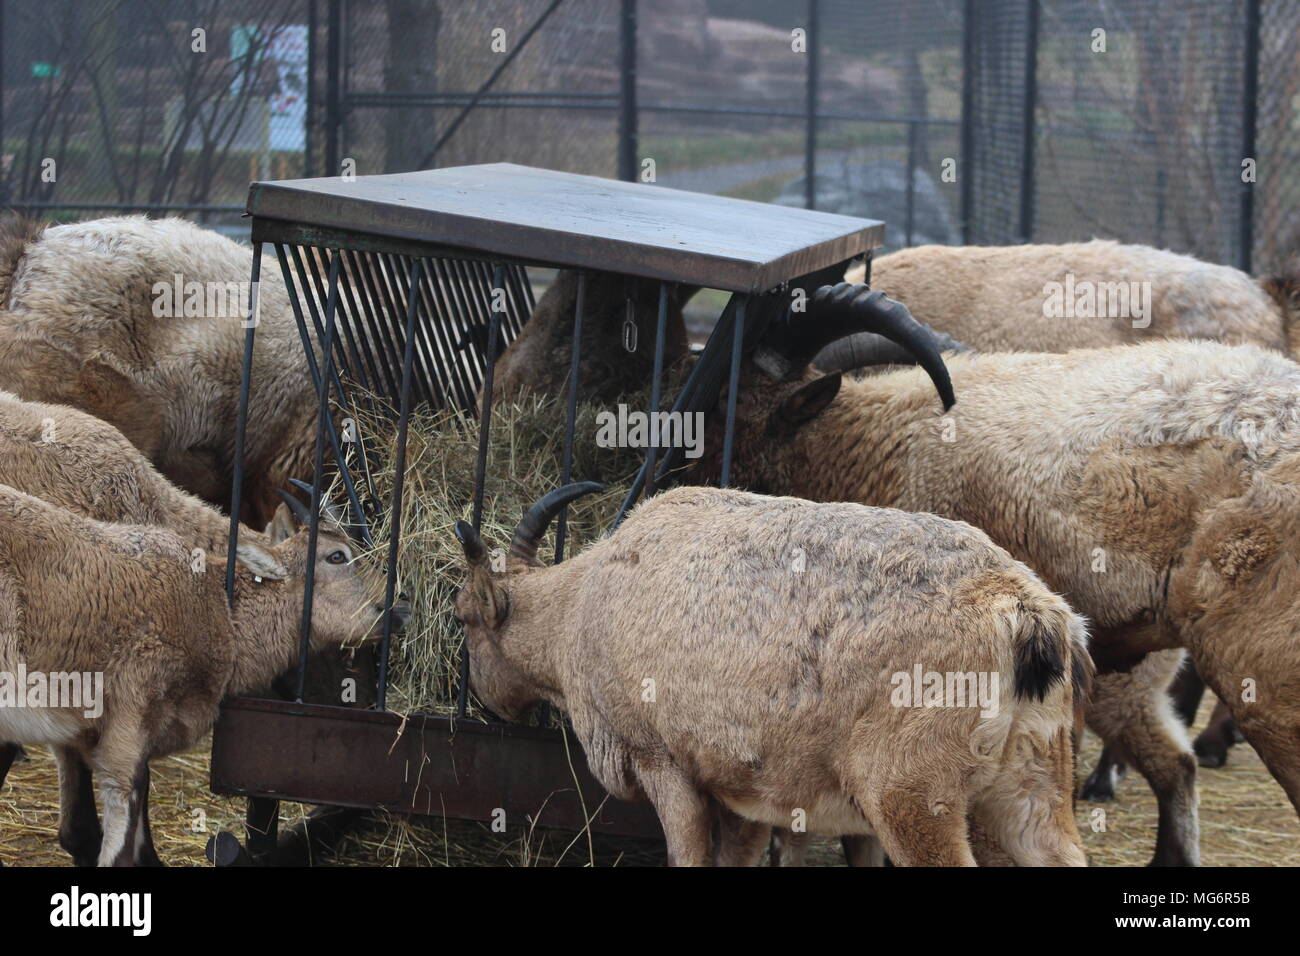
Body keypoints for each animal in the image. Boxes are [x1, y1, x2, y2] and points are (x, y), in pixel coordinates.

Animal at [0, 486, 405, 868]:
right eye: (337, 556)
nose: (401, 606)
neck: (215, 606)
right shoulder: (134, 707)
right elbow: (127, 798)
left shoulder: (86, 729)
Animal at [452, 486, 1092, 868]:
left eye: (463, 619)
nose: (488, 703)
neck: (584, 607)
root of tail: (1029, 613)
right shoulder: (740, 793)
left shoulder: (664, 764)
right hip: (1035, 784)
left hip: (911, 798)